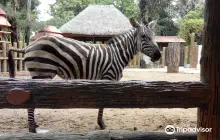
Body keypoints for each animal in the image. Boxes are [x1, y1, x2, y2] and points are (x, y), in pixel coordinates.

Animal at [7, 18, 161, 133]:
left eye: (154, 36)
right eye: (143, 37)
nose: (158, 55)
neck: (117, 54)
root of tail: (29, 46)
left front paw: (100, 123)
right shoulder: (108, 78)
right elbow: (103, 103)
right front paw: (101, 124)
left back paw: (34, 125)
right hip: (42, 73)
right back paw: (32, 129)